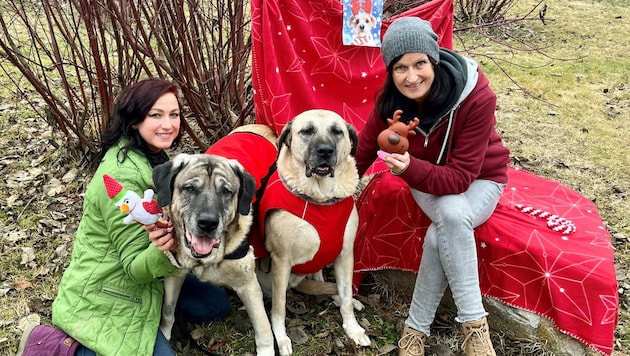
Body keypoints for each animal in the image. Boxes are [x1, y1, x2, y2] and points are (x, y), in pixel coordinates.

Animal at [152, 126, 278, 356]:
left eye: (226, 192)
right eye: (189, 188)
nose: (208, 223)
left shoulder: (248, 285)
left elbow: (263, 328)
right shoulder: (175, 274)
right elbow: (167, 311)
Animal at [252, 110, 370, 354]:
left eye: (337, 131)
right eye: (307, 131)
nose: (325, 151)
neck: (320, 199)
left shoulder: (345, 254)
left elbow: (346, 295)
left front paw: (352, 329)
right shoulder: (281, 262)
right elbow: (279, 307)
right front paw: (281, 338)